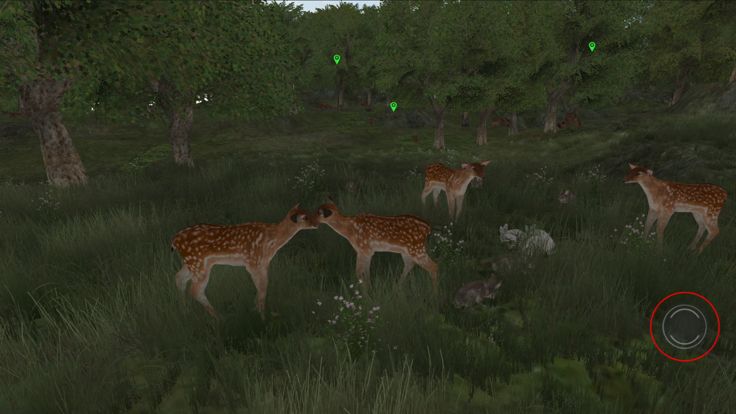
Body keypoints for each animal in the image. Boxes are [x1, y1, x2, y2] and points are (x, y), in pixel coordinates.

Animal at [170, 204, 318, 319]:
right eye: (304, 217)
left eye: (309, 211)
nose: (316, 223)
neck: (272, 241)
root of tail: (174, 241)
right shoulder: (253, 262)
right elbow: (262, 288)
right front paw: (262, 317)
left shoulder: (264, 263)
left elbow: (263, 287)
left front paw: (256, 310)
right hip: (198, 263)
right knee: (195, 290)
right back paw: (219, 318)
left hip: (191, 263)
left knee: (179, 277)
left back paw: (185, 311)